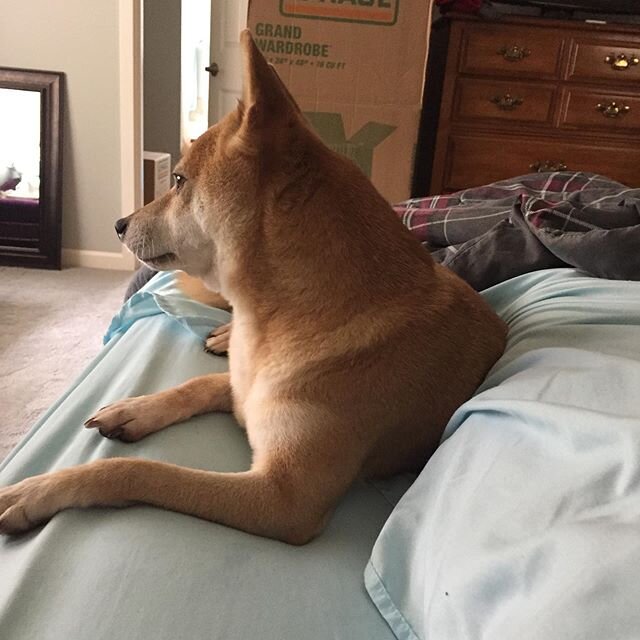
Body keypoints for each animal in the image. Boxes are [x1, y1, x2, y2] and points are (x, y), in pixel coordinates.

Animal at [1, 32, 510, 544]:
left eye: (179, 180)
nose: (118, 224)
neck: (270, 318)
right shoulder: (243, 387)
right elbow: (197, 385)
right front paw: (137, 408)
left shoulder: (283, 499)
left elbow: (141, 471)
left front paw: (38, 491)